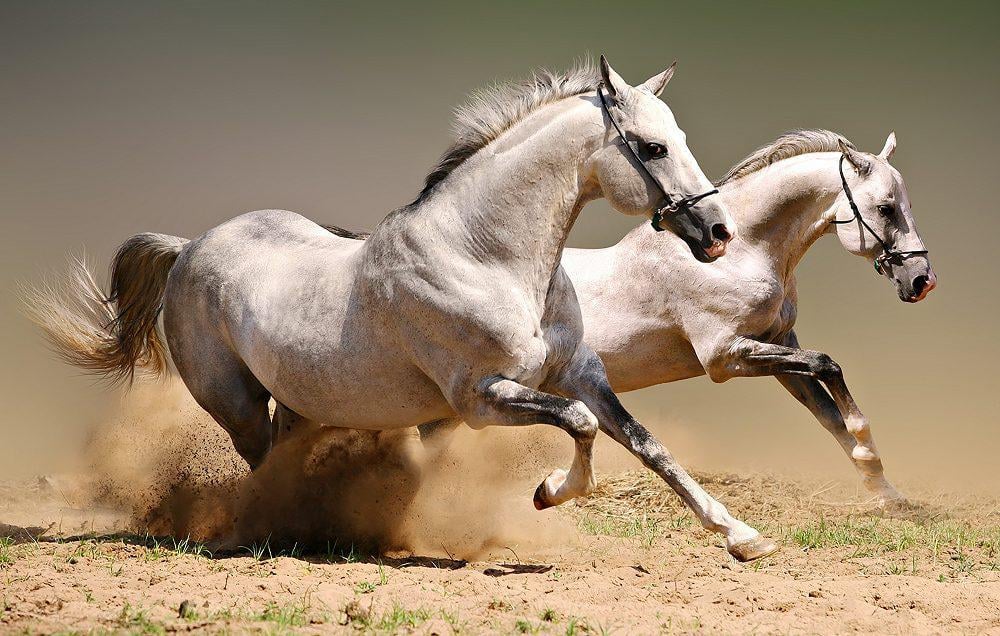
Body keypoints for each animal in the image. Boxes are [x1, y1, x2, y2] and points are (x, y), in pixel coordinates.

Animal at [29, 57, 788, 560]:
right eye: (654, 147)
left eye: (681, 139)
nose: (717, 233)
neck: (485, 256)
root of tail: (189, 248)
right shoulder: (480, 399)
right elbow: (578, 426)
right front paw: (548, 491)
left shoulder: (579, 373)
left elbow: (644, 442)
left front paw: (742, 536)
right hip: (235, 402)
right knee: (260, 464)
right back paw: (269, 530)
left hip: (301, 403)